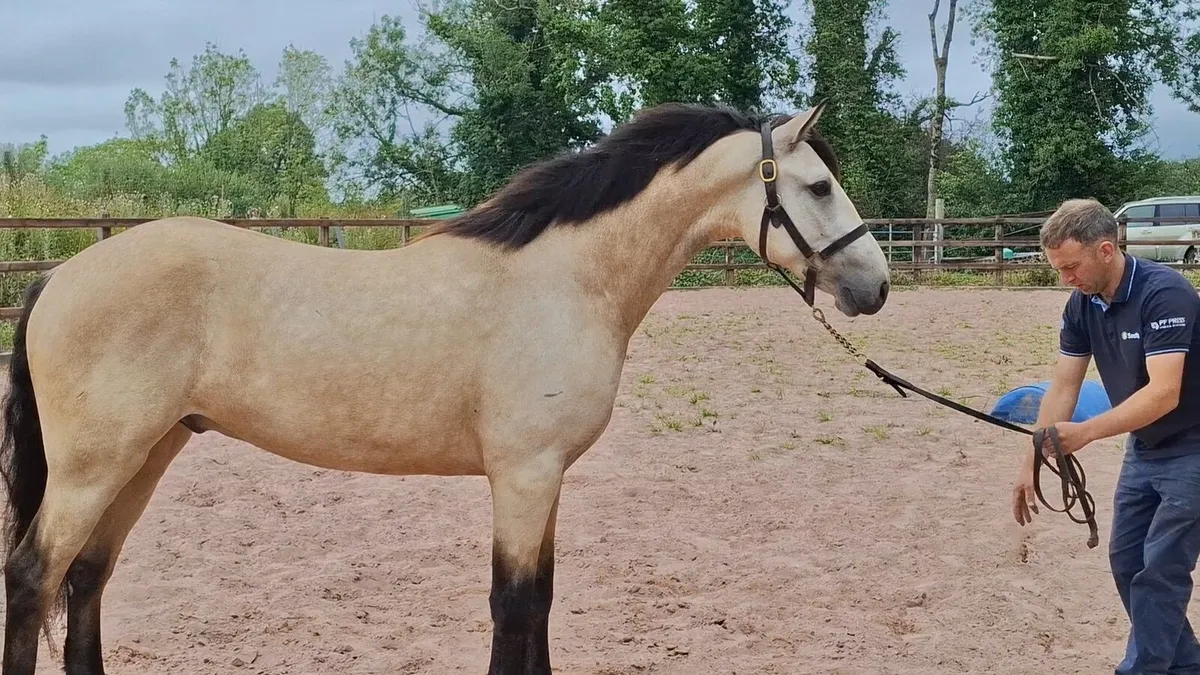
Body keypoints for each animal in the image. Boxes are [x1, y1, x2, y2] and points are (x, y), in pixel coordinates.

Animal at [0, 100, 890, 674]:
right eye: (818, 186)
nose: (873, 287)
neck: (563, 278)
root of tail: (59, 275)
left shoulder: (545, 478)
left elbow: (542, 601)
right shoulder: (523, 475)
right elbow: (514, 605)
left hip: (146, 454)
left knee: (86, 577)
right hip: (95, 466)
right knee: (33, 576)